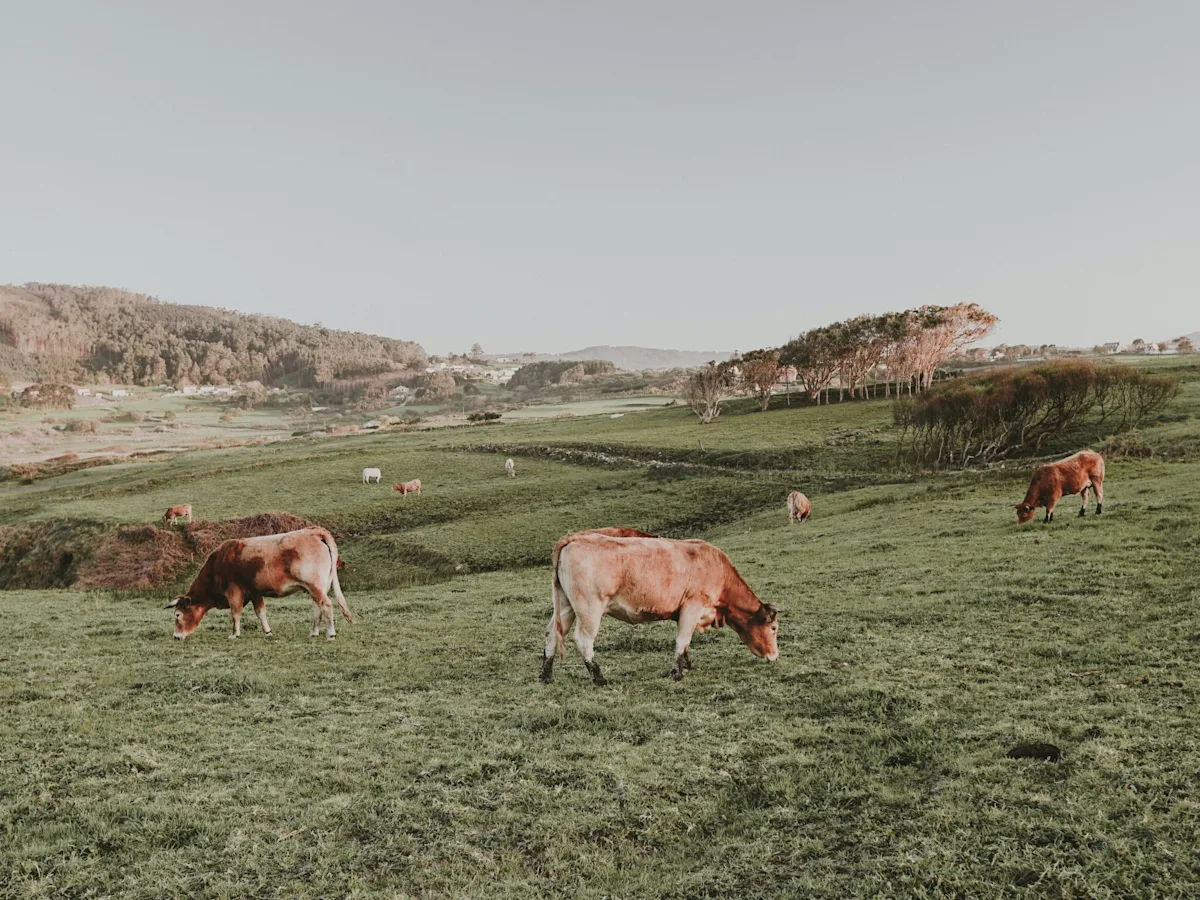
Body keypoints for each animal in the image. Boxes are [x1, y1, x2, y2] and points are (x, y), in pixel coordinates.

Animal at [165, 527, 353, 640]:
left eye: (177, 615)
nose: (175, 636)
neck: (219, 562)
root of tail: (314, 532)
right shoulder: (255, 593)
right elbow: (260, 612)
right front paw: (268, 632)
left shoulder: (233, 593)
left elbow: (235, 614)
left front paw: (234, 634)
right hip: (317, 588)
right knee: (317, 608)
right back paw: (313, 632)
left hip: (315, 586)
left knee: (326, 606)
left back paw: (330, 633)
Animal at [540, 533, 779, 685]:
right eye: (774, 628)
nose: (775, 656)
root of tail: (575, 538)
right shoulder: (692, 606)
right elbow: (682, 640)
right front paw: (677, 673)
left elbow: (686, 642)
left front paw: (686, 665)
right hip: (589, 608)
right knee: (583, 640)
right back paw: (599, 678)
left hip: (565, 606)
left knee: (552, 633)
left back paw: (545, 676)